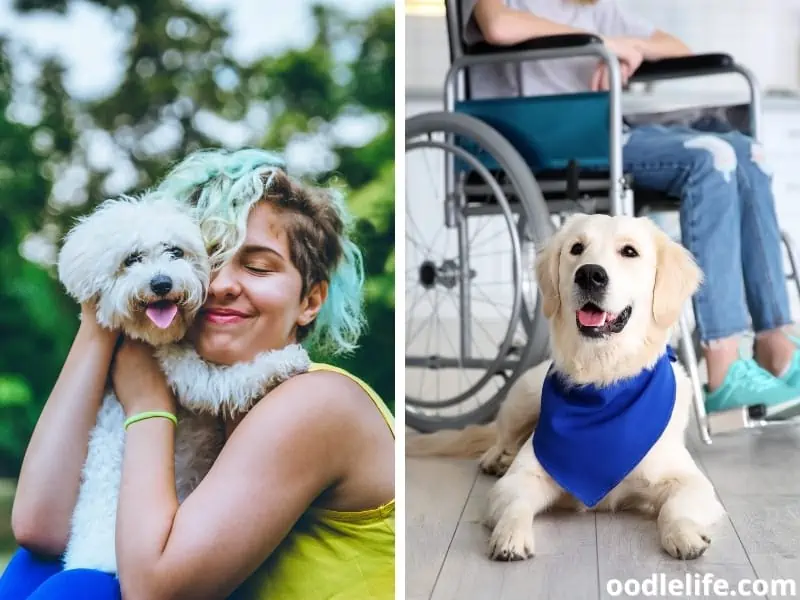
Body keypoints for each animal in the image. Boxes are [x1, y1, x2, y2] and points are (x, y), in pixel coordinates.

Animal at [410, 214, 728, 564]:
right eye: (577, 248)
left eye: (629, 252)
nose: (589, 274)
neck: (601, 381)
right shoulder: (521, 478)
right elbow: (516, 504)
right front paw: (510, 535)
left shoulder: (690, 481)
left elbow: (676, 507)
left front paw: (684, 535)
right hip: (523, 396)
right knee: (501, 435)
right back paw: (497, 457)